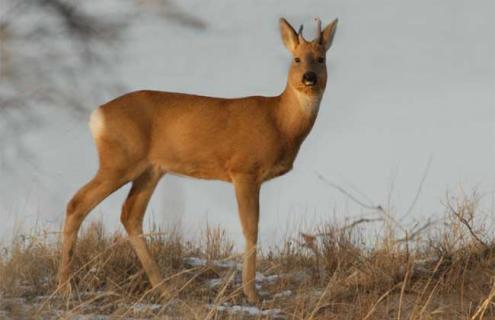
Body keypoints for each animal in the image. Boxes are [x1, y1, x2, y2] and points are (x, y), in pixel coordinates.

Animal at [57, 16, 338, 302]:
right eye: (296, 59)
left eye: (321, 58)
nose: (309, 77)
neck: (279, 122)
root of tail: (96, 116)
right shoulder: (244, 169)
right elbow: (251, 228)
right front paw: (252, 294)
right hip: (120, 159)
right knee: (77, 203)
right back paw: (64, 287)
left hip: (151, 169)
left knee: (130, 215)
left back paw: (165, 288)